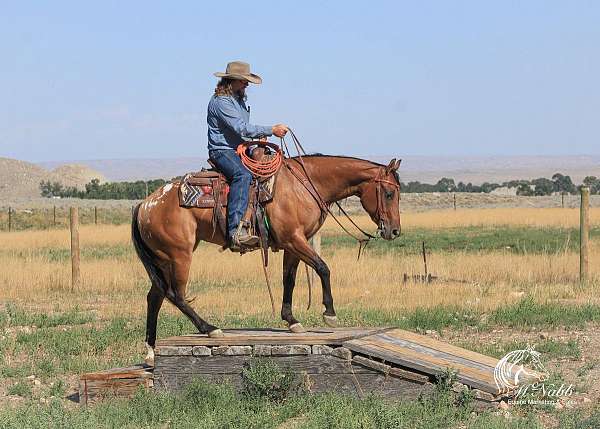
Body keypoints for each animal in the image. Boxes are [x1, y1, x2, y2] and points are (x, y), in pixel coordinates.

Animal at [133, 155, 400, 362]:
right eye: (388, 193)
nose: (394, 231)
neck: (305, 185)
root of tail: (146, 204)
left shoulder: (293, 245)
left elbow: (289, 280)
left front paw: (291, 320)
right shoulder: (294, 239)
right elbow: (323, 267)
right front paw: (330, 314)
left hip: (164, 259)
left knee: (155, 296)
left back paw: (151, 352)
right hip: (180, 255)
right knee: (176, 294)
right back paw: (210, 329)